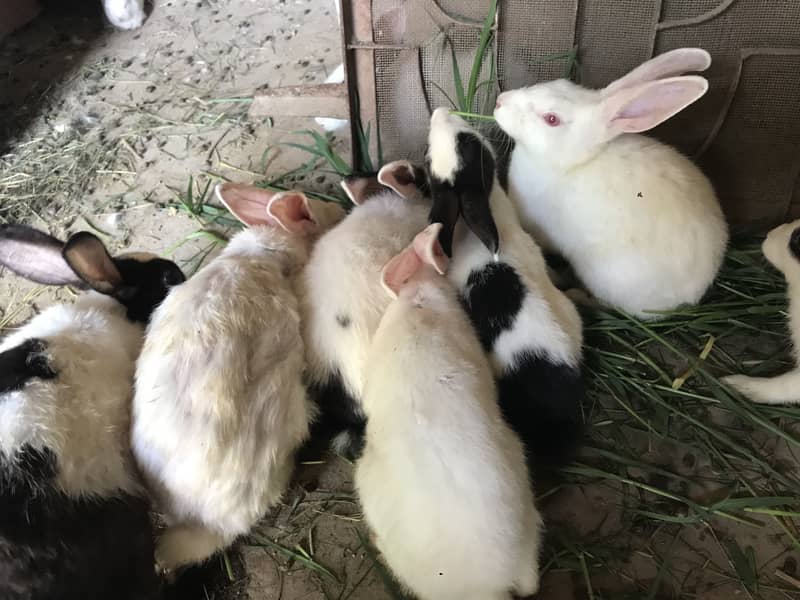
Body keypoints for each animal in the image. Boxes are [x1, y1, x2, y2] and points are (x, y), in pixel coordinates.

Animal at [494, 47, 729, 319]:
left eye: (551, 119)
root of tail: (694, 295)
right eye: (558, 82)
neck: (572, 162)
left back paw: (577, 293)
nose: (500, 101)